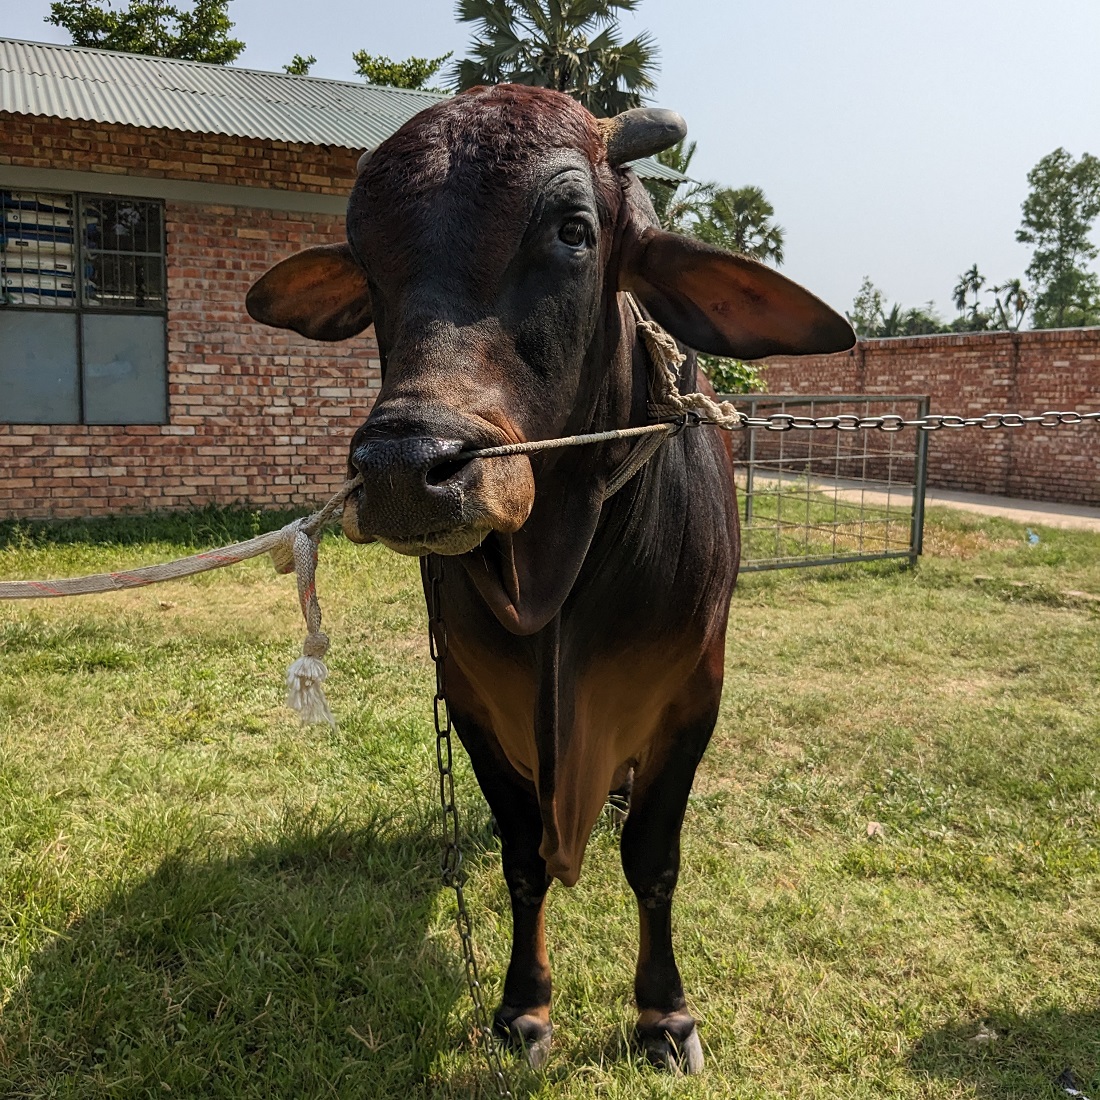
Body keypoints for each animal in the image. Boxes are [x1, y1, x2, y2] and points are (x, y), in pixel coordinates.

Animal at [247, 85, 849, 1073]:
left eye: (574, 230)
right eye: (366, 261)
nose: (405, 468)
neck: (555, 574)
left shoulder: (694, 693)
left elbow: (653, 859)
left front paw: (664, 1015)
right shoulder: (472, 700)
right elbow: (523, 855)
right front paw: (524, 1008)